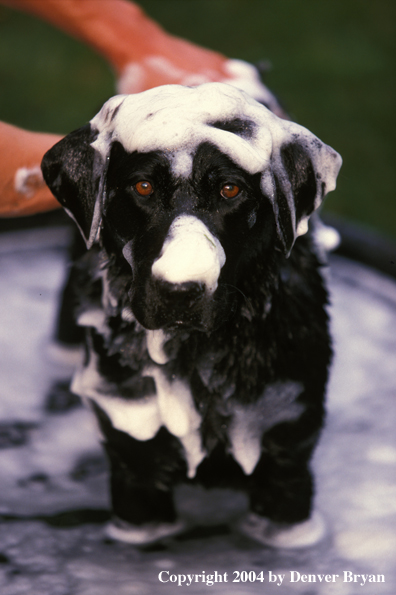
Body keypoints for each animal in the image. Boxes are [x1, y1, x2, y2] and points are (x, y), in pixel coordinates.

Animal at [41, 84, 342, 548]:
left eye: (230, 190)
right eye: (143, 186)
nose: (179, 290)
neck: (201, 361)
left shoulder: (287, 459)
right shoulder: (135, 467)